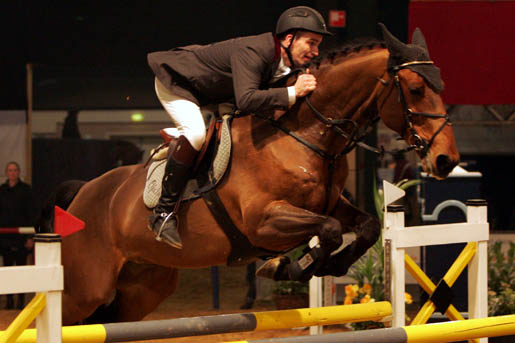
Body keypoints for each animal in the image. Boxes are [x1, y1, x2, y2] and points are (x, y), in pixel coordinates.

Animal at [39, 24, 460, 326]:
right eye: (416, 88)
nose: (445, 161)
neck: (306, 134)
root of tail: (82, 193)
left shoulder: (332, 203)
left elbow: (365, 227)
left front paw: (323, 266)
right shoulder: (263, 221)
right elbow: (327, 231)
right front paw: (290, 266)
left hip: (143, 286)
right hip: (85, 289)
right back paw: (164, 221)